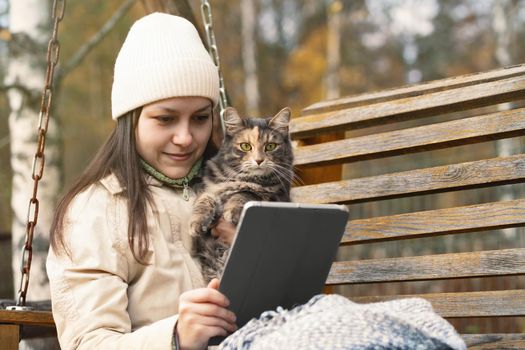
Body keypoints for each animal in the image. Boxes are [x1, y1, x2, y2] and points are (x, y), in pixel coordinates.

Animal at [191, 106, 294, 282]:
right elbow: (204, 201)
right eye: (246, 146)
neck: (242, 178)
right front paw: (197, 223)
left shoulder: (276, 197)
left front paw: (232, 211)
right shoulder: (210, 188)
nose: (259, 160)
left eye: (270, 146)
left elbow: (245, 192)